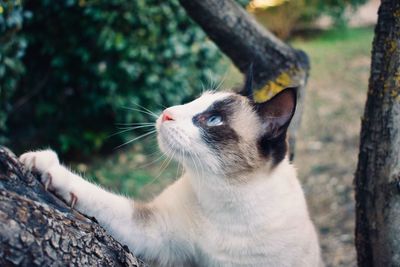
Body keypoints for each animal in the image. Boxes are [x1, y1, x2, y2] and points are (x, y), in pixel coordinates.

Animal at [20, 72, 324, 266]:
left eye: (213, 120)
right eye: (194, 100)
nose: (167, 113)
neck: (229, 199)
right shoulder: (156, 234)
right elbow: (95, 195)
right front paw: (41, 162)